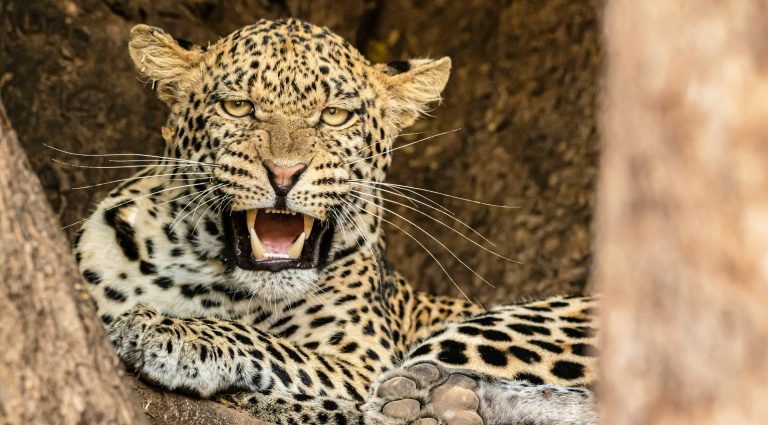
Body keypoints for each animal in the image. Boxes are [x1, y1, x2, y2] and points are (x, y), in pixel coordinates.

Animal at [72, 18, 598, 425]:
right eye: (238, 107)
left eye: (335, 116)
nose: (284, 173)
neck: (206, 280)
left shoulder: (364, 362)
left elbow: (284, 350)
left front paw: (175, 334)